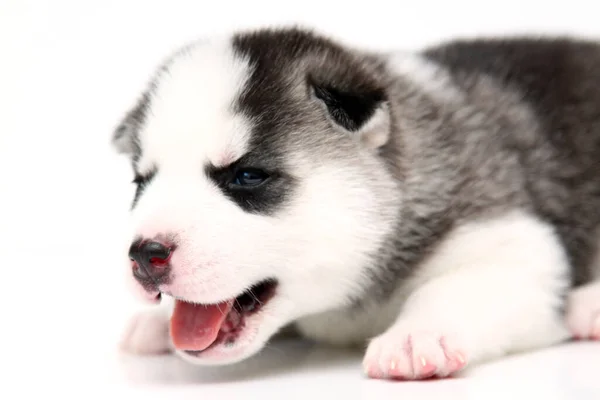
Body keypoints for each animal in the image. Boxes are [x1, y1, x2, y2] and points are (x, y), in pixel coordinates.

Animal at [113, 27, 600, 378]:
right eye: (141, 182)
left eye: (247, 176)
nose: (145, 255)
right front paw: (159, 324)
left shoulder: (517, 243)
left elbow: (451, 287)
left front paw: (417, 335)